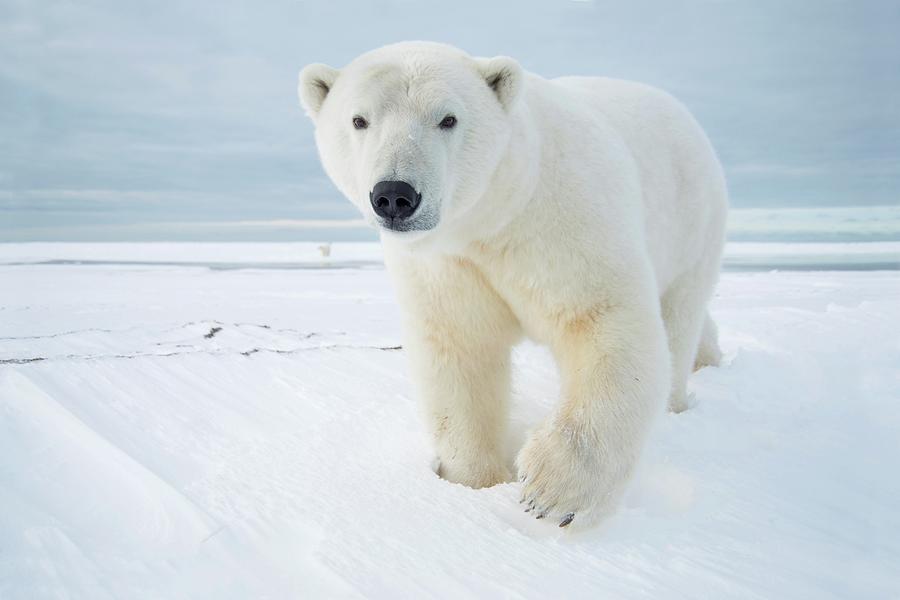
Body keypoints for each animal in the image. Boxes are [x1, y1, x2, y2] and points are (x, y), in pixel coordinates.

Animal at [298, 41, 728, 524]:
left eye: (448, 118)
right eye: (359, 119)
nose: (394, 195)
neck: (496, 216)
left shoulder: (565, 224)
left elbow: (604, 321)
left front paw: (550, 491)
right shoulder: (446, 264)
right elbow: (461, 354)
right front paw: (472, 481)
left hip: (692, 223)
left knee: (678, 319)